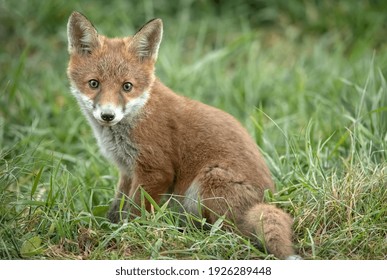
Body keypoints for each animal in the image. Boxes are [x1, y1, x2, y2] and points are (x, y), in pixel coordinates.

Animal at [67, 12, 300, 260]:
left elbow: (136, 210)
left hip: (208, 182)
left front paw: (129, 234)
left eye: (127, 86)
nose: (108, 115)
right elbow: (117, 206)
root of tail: (268, 198)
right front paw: (108, 228)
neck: (138, 115)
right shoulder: (127, 170)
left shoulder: (156, 170)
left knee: (233, 231)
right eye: (94, 84)